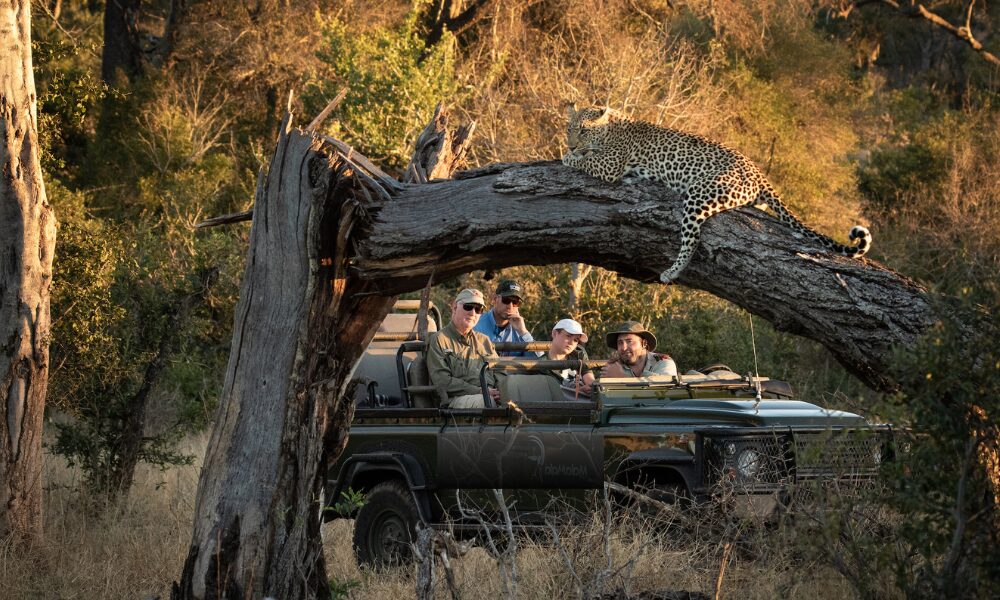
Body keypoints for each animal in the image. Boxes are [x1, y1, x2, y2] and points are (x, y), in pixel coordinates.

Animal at [561, 105, 872, 283]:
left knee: (692, 239)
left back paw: (672, 272)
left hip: (699, 193)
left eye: (584, 130)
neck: (610, 128)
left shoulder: (610, 165)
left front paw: (566, 156)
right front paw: (568, 152)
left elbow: (584, 160)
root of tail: (759, 173)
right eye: (569, 128)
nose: (572, 143)